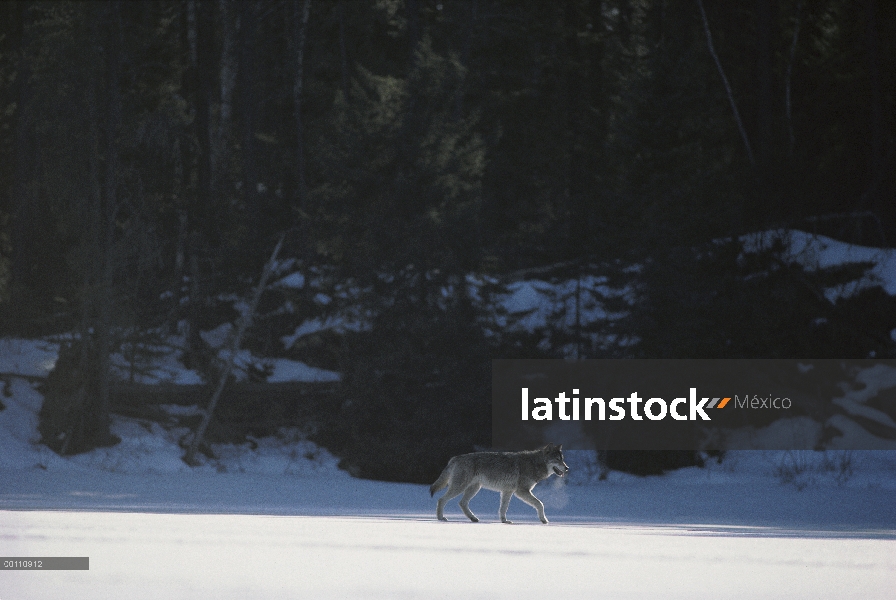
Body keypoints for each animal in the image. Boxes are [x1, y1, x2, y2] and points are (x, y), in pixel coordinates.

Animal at [430, 442, 572, 524]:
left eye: (562, 459)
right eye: (557, 459)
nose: (567, 468)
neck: (535, 463)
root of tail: (454, 458)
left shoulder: (507, 491)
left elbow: (503, 508)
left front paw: (504, 521)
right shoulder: (521, 491)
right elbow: (540, 504)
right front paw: (544, 520)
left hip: (474, 488)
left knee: (462, 503)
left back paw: (473, 518)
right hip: (460, 487)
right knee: (441, 499)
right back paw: (441, 518)